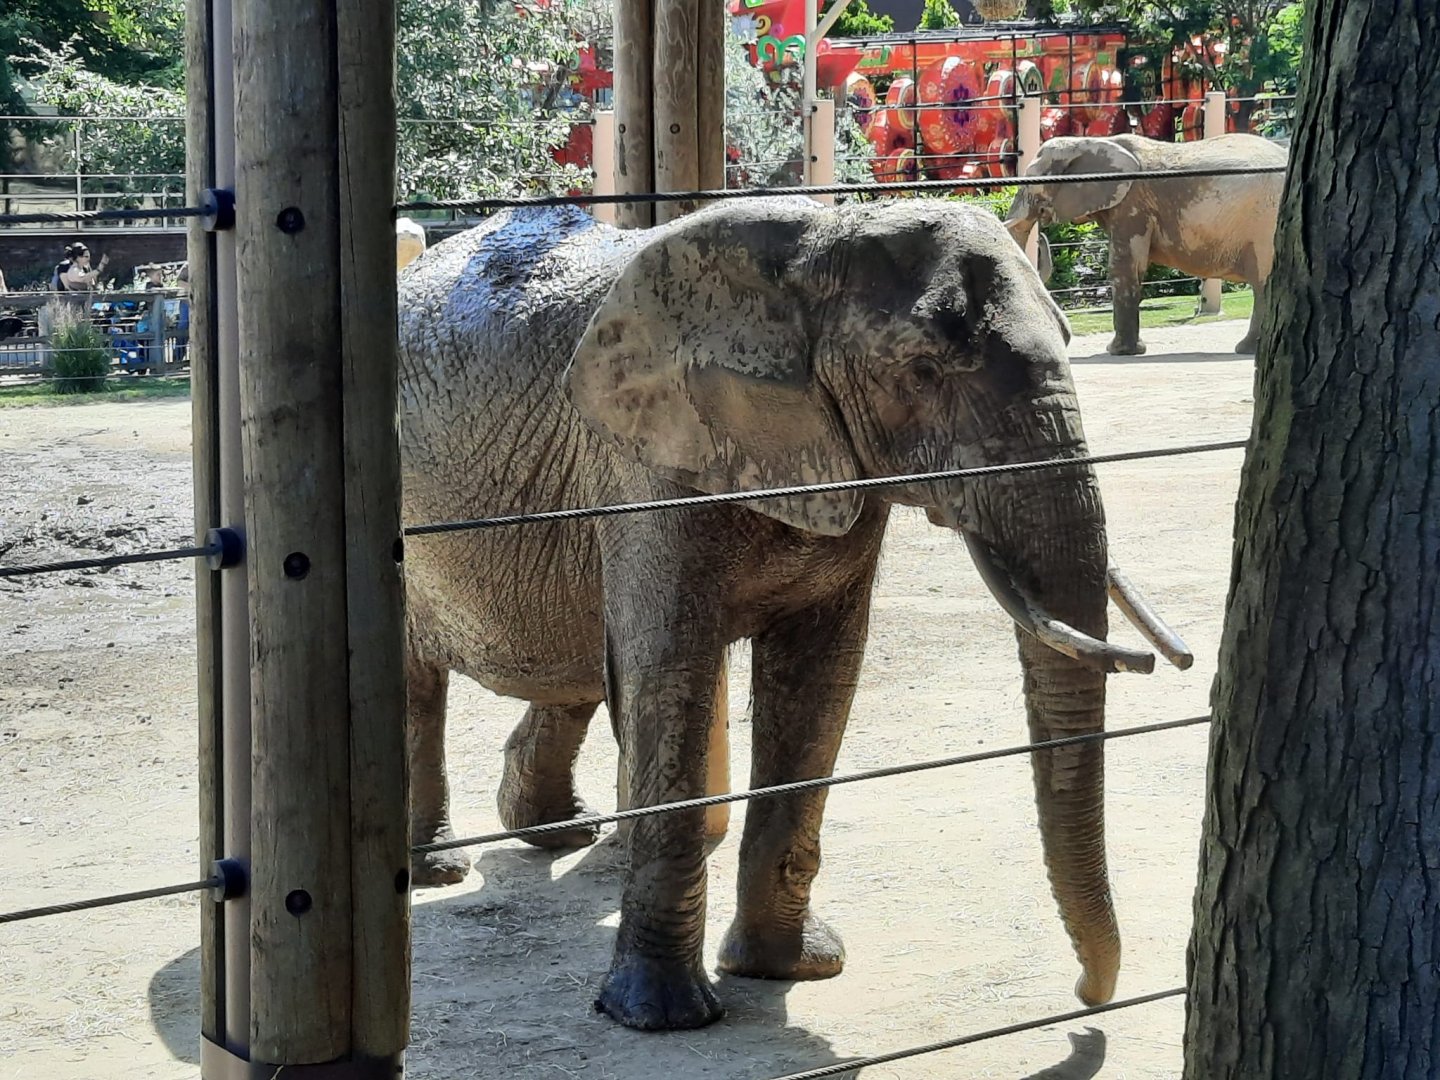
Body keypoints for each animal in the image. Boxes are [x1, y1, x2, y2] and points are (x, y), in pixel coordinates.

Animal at [396, 196, 1192, 1031]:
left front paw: (793, 969)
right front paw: (664, 1018)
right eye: (922, 372)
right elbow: (669, 671)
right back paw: (440, 869)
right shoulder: (647, 468)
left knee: (581, 664)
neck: (820, 243)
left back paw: (556, 831)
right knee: (431, 681)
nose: (1088, 1000)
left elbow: (819, 678)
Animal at [1004, 133, 1287, 356]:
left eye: (1032, 182)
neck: (1090, 141)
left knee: (1264, 283)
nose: (1041, 236)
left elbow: (1125, 266)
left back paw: (1248, 349)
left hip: (1265, 222)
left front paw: (1118, 352)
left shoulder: (1133, 204)